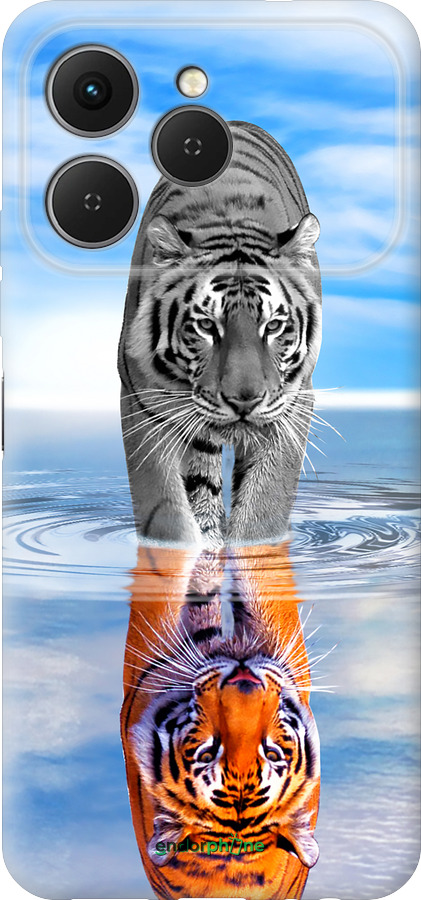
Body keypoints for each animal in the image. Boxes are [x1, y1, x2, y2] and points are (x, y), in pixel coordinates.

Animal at [118, 120, 322, 548]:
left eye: (273, 326)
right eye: (206, 325)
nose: (244, 401)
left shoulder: (293, 405)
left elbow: (264, 508)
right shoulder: (142, 401)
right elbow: (166, 511)